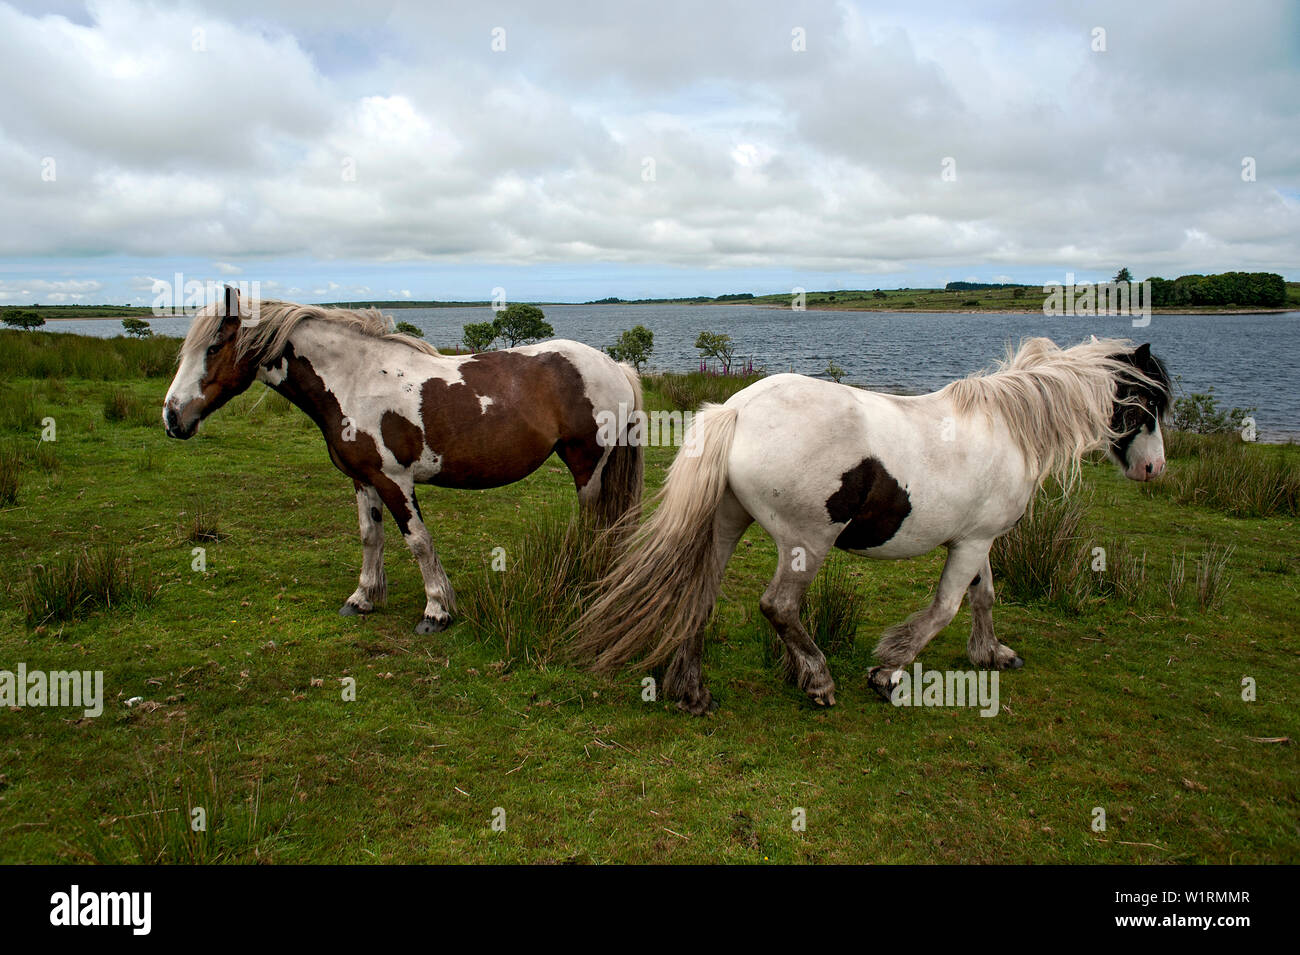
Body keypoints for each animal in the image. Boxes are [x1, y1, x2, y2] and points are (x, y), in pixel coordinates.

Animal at [165, 291, 642, 634]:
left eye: (214, 347)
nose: (171, 417)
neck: (354, 381)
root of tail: (613, 364)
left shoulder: (395, 480)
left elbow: (418, 542)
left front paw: (436, 611)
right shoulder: (363, 479)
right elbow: (370, 537)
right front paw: (362, 599)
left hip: (588, 465)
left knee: (596, 525)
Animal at [574, 340, 1175, 712]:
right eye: (1147, 401)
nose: (1154, 469)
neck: (1008, 427)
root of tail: (738, 410)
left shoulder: (978, 540)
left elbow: (983, 598)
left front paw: (991, 654)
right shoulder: (973, 542)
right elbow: (945, 609)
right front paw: (888, 672)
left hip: (726, 523)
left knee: (699, 596)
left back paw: (692, 692)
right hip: (806, 542)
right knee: (779, 607)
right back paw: (818, 680)